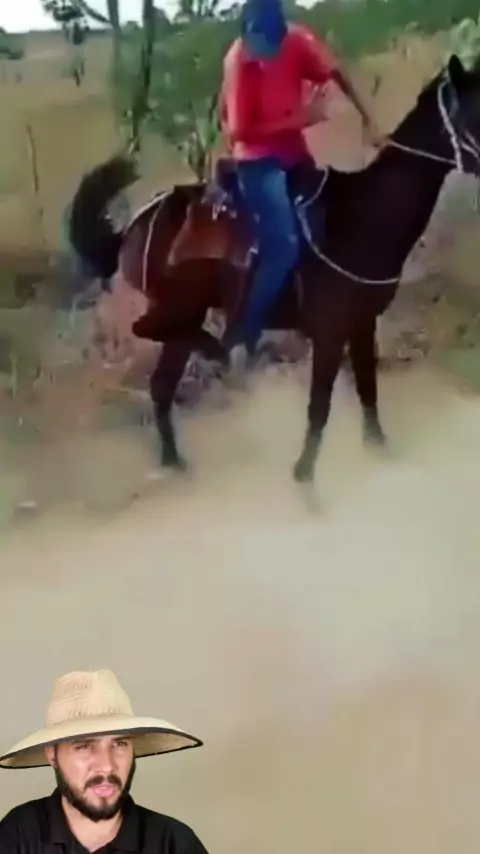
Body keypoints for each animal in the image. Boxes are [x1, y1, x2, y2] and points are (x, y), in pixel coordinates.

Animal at [68, 55, 480, 484]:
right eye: (476, 111)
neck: (364, 214)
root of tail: (138, 221)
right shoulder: (330, 333)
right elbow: (320, 406)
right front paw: (304, 477)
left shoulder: (362, 324)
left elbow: (368, 388)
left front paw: (380, 451)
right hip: (179, 305)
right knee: (149, 332)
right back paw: (217, 350)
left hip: (185, 312)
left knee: (162, 383)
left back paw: (174, 458)